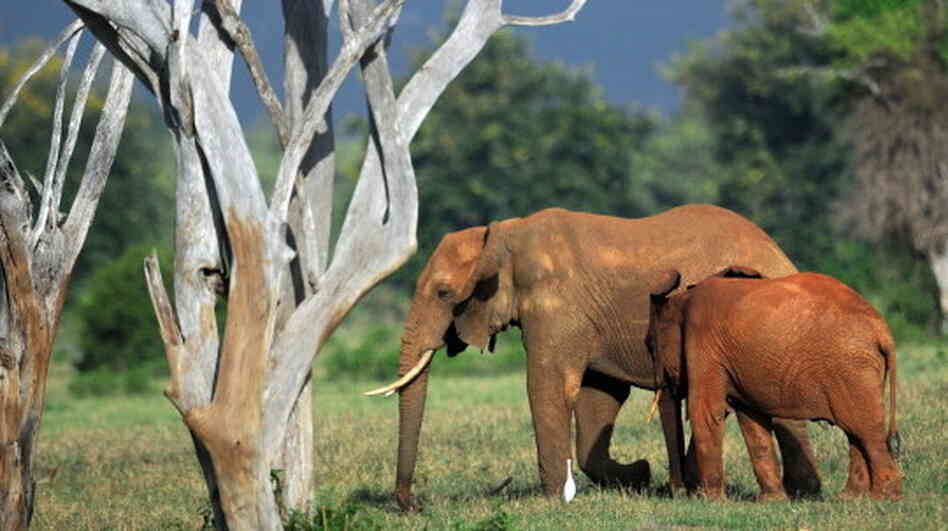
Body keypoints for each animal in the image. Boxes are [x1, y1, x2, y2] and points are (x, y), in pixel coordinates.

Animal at [365, 205, 822, 510]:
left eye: (443, 293)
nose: (411, 506)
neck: (502, 236)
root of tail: (778, 251)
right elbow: (597, 397)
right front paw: (639, 475)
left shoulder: (556, 305)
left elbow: (549, 387)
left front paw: (552, 501)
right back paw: (797, 493)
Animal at [645, 267, 901, 501]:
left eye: (651, 346)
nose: (680, 494)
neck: (682, 299)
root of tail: (882, 329)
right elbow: (751, 419)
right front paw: (772, 502)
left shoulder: (703, 343)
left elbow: (706, 411)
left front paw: (711, 502)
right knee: (855, 432)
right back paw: (851, 498)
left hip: (852, 368)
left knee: (867, 432)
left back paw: (883, 498)